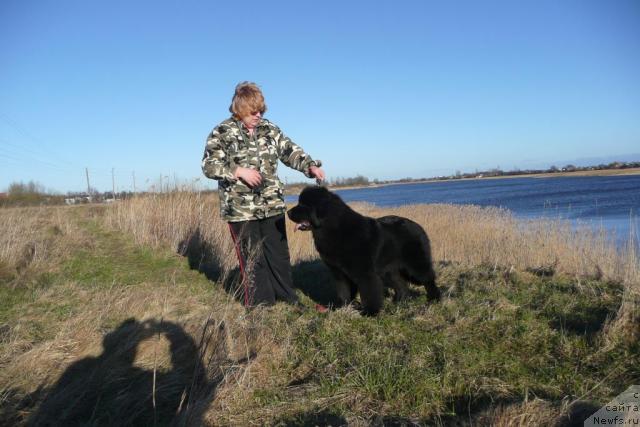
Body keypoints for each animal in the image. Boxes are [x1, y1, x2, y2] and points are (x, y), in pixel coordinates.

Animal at [286, 186, 440, 316]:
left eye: (304, 205)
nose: (287, 212)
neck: (333, 229)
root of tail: (418, 226)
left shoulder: (364, 273)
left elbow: (369, 292)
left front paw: (370, 312)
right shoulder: (338, 272)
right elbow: (343, 291)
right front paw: (343, 308)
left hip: (415, 264)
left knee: (428, 279)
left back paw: (434, 299)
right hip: (389, 269)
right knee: (401, 284)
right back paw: (399, 301)